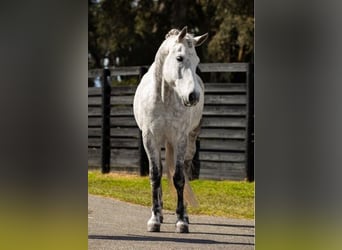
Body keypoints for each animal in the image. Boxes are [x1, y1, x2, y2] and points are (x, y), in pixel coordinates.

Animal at [133, 26, 208, 233]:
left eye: (197, 61)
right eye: (179, 58)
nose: (193, 96)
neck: (164, 98)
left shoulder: (180, 139)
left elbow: (180, 178)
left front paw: (181, 221)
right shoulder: (150, 139)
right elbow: (155, 176)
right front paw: (154, 220)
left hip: (188, 142)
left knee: (185, 171)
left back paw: (185, 215)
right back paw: (159, 214)